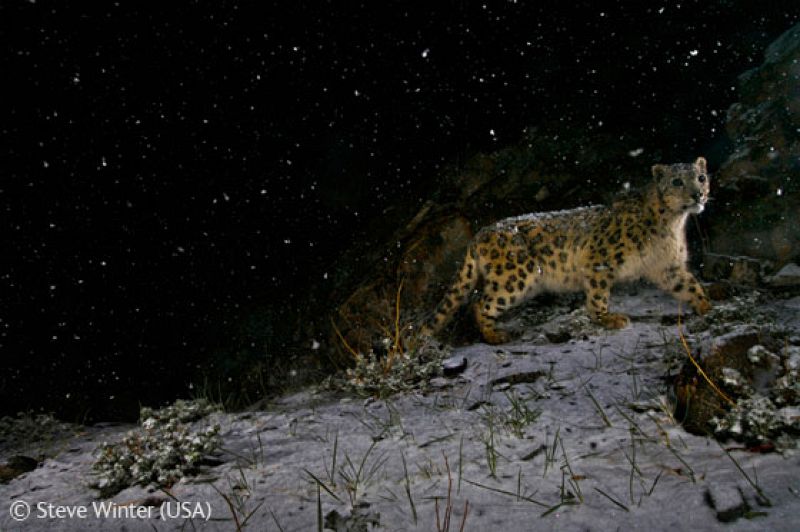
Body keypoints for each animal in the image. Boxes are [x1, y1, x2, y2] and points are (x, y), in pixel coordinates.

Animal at [421, 157, 712, 344]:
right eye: (677, 181)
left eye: (701, 177)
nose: (698, 194)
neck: (673, 224)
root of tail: (480, 234)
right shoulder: (600, 260)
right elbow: (598, 295)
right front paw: (607, 318)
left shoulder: (667, 267)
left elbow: (689, 285)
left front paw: (707, 307)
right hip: (515, 278)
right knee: (479, 303)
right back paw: (496, 336)